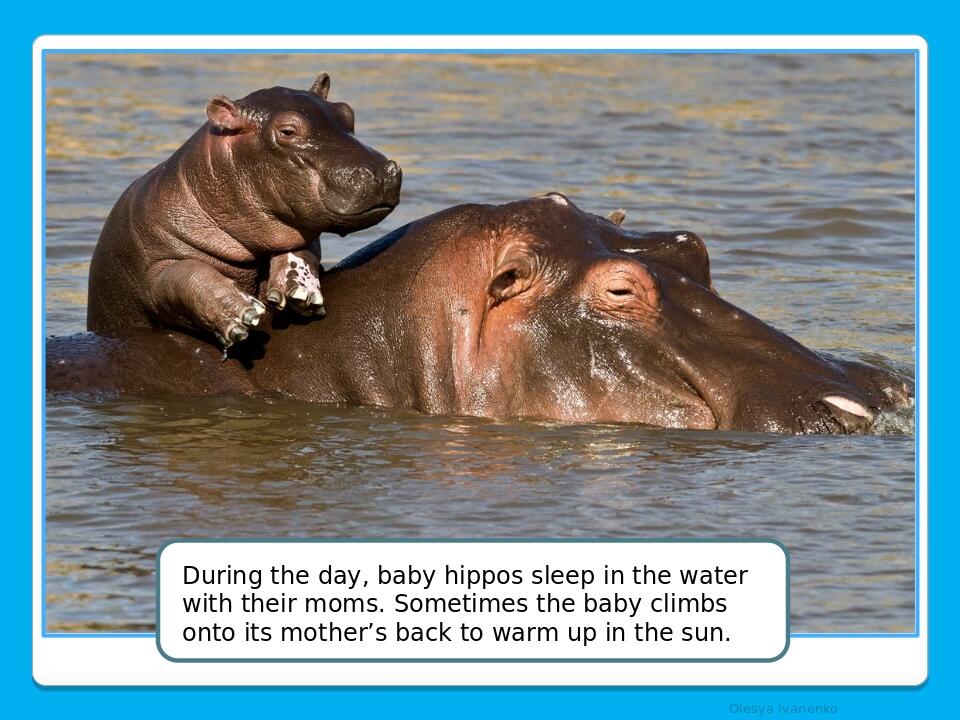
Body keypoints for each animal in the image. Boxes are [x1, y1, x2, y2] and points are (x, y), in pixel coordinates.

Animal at [86, 74, 402, 351]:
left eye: (347, 112)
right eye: (288, 131)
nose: (379, 172)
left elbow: (301, 248)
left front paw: (300, 290)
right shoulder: (152, 270)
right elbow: (185, 275)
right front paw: (243, 313)